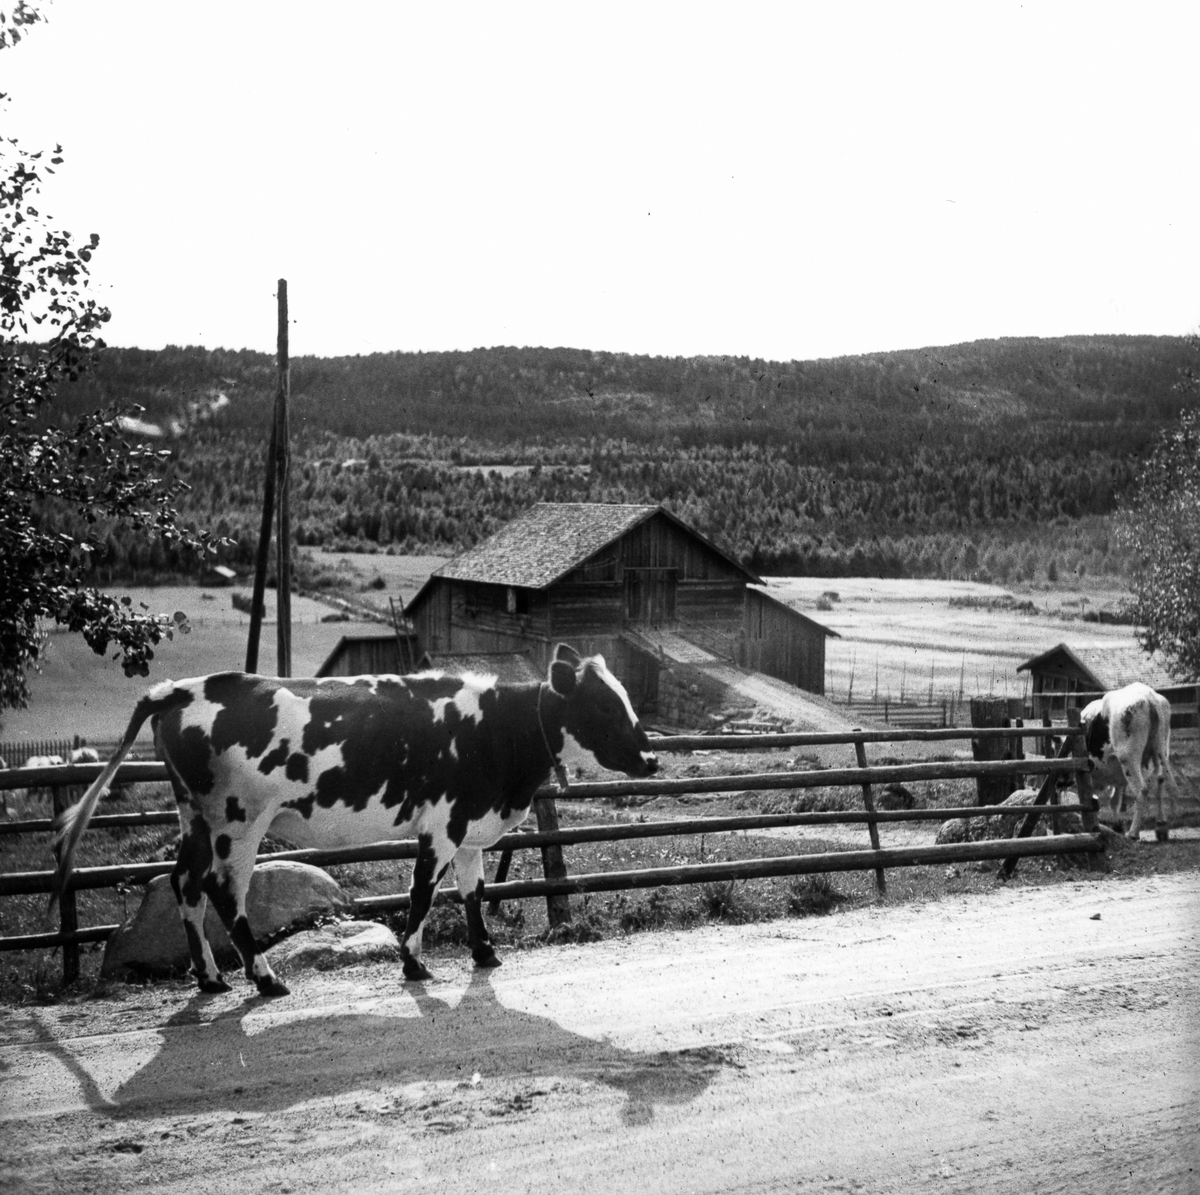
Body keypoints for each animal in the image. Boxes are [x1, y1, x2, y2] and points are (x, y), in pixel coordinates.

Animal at [54, 643, 657, 998]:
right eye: (604, 706)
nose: (652, 759)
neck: (494, 730)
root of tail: (184, 687)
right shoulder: (441, 826)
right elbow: (421, 894)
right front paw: (413, 964)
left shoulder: (469, 828)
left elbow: (474, 893)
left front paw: (485, 954)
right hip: (238, 820)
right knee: (225, 892)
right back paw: (265, 979)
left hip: (194, 817)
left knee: (185, 884)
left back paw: (210, 978)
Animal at [1080, 681, 1180, 839]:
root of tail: (1148, 695)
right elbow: (1114, 800)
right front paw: (1116, 825)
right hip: (1160, 751)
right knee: (1160, 778)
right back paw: (1161, 826)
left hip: (1128, 759)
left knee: (1142, 789)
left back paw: (1133, 833)